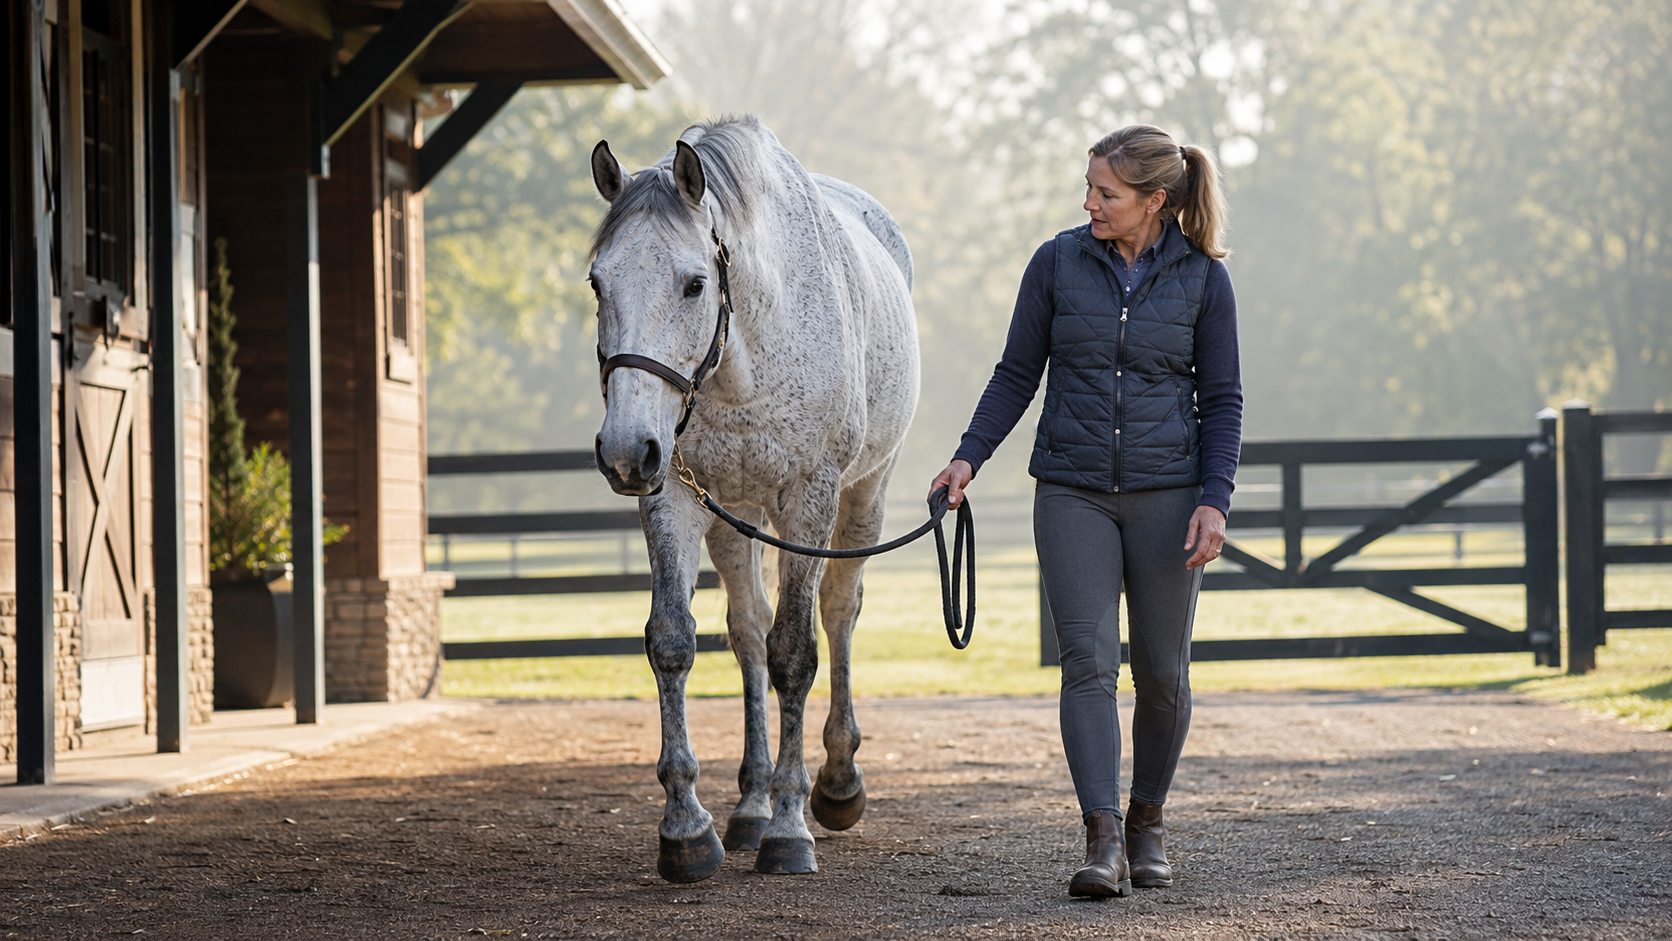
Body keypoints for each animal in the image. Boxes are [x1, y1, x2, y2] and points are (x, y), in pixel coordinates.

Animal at [588, 117, 919, 883]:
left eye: (694, 283)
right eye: (597, 281)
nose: (623, 449)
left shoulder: (809, 496)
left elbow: (795, 651)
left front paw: (791, 828)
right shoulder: (675, 494)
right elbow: (674, 641)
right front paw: (686, 827)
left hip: (863, 496)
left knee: (838, 610)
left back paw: (835, 784)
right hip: (733, 517)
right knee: (746, 632)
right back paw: (750, 804)